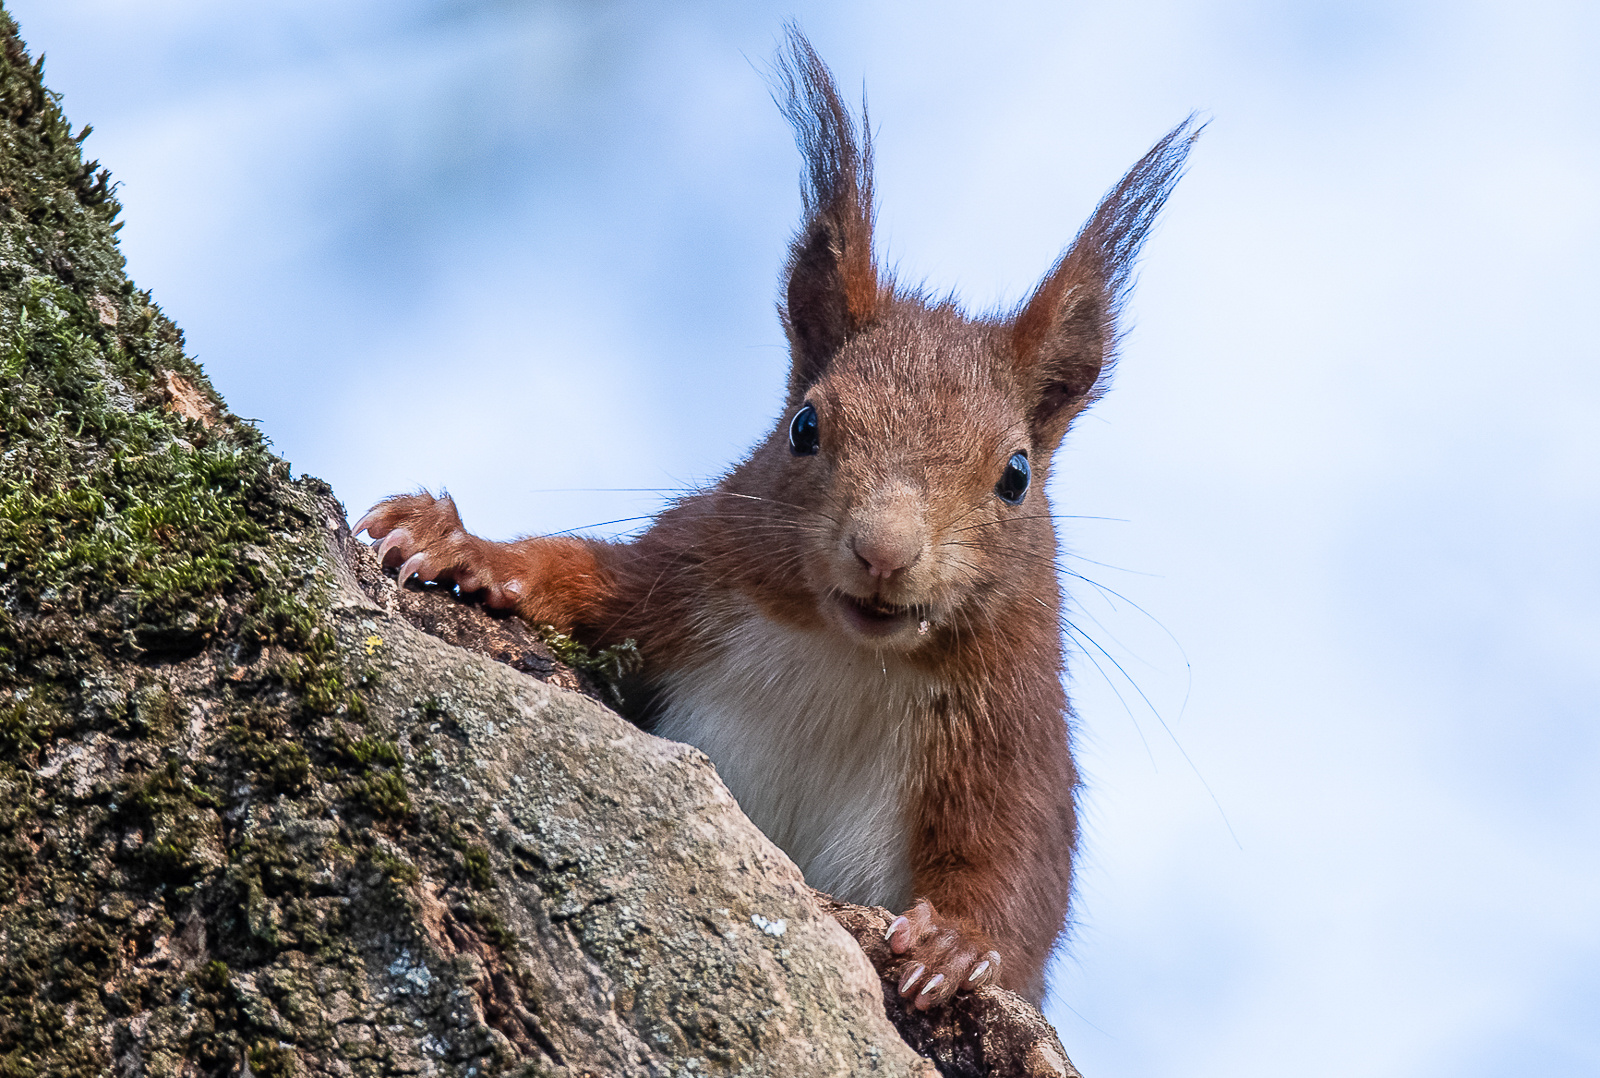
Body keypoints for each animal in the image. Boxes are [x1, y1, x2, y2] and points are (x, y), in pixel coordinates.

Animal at [356, 35, 1196, 1010]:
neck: (850, 654)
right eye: (804, 427)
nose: (883, 552)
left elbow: (1020, 870)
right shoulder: (690, 574)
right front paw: (464, 546)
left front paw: (960, 948)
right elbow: (587, 576)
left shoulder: (1015, 723)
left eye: (1017, 476)